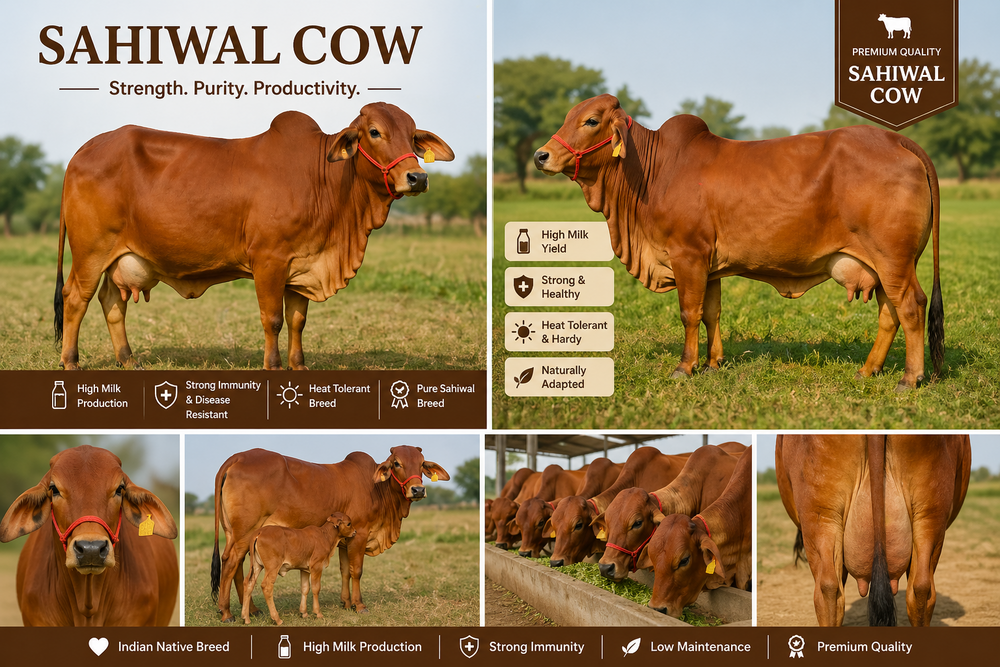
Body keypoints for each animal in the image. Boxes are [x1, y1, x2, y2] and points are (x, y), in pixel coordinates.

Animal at [54, 102, 454, 370]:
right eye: (374, 132)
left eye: (413, 137)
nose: (418, 177)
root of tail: (81, 152)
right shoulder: (269, 261)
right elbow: (273, 319)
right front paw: (273, 366)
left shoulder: (302, 265)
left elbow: (298, 320)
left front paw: (298, 365)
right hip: (90, 252)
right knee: (76, 298)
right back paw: (71, 362)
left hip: (120, 256)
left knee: (111, 302)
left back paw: (128, 360)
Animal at [210, 446, 449, 622]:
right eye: (397, 463)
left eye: (421, 463)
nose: (418, 490)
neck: (378, 490)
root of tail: (238, 457)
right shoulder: (359, 535)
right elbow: (356, 571)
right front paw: (359, 605)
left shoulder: (345, 540)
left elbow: (345, 571)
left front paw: (346, 602)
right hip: (244, 533)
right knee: (230, 563)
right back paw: (226, 612)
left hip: (237, 534)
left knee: (238, 567)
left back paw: (251, 610)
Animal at [534, 94, 942, 390]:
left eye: (591, 121)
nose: (541, 155)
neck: (653, 171)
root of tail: (896, 138)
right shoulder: (709, 265)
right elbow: (711, 313)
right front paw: (713, 363)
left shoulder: (688, 255)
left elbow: (689, 313)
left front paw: (685, 367)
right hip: (883, 264)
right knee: (890, 313)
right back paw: (868, 370)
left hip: (894, 260)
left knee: (911, 307)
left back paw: (910, 378)